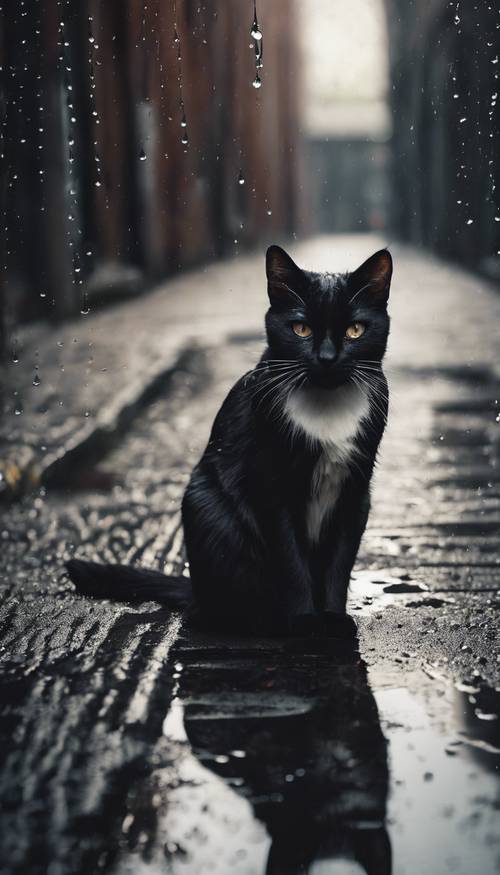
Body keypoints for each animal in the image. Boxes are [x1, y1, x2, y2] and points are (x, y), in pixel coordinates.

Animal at [67, 243, 394, 640]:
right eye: (300, 328)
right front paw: (304, 622)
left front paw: (333, 619)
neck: (326, 408)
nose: (327, 358)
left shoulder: (356, 490)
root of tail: (196, 591)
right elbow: (291, 560)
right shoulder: (271, 484)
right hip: (206, 505)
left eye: (354, 330)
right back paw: (259, 619)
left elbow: (340, 562)